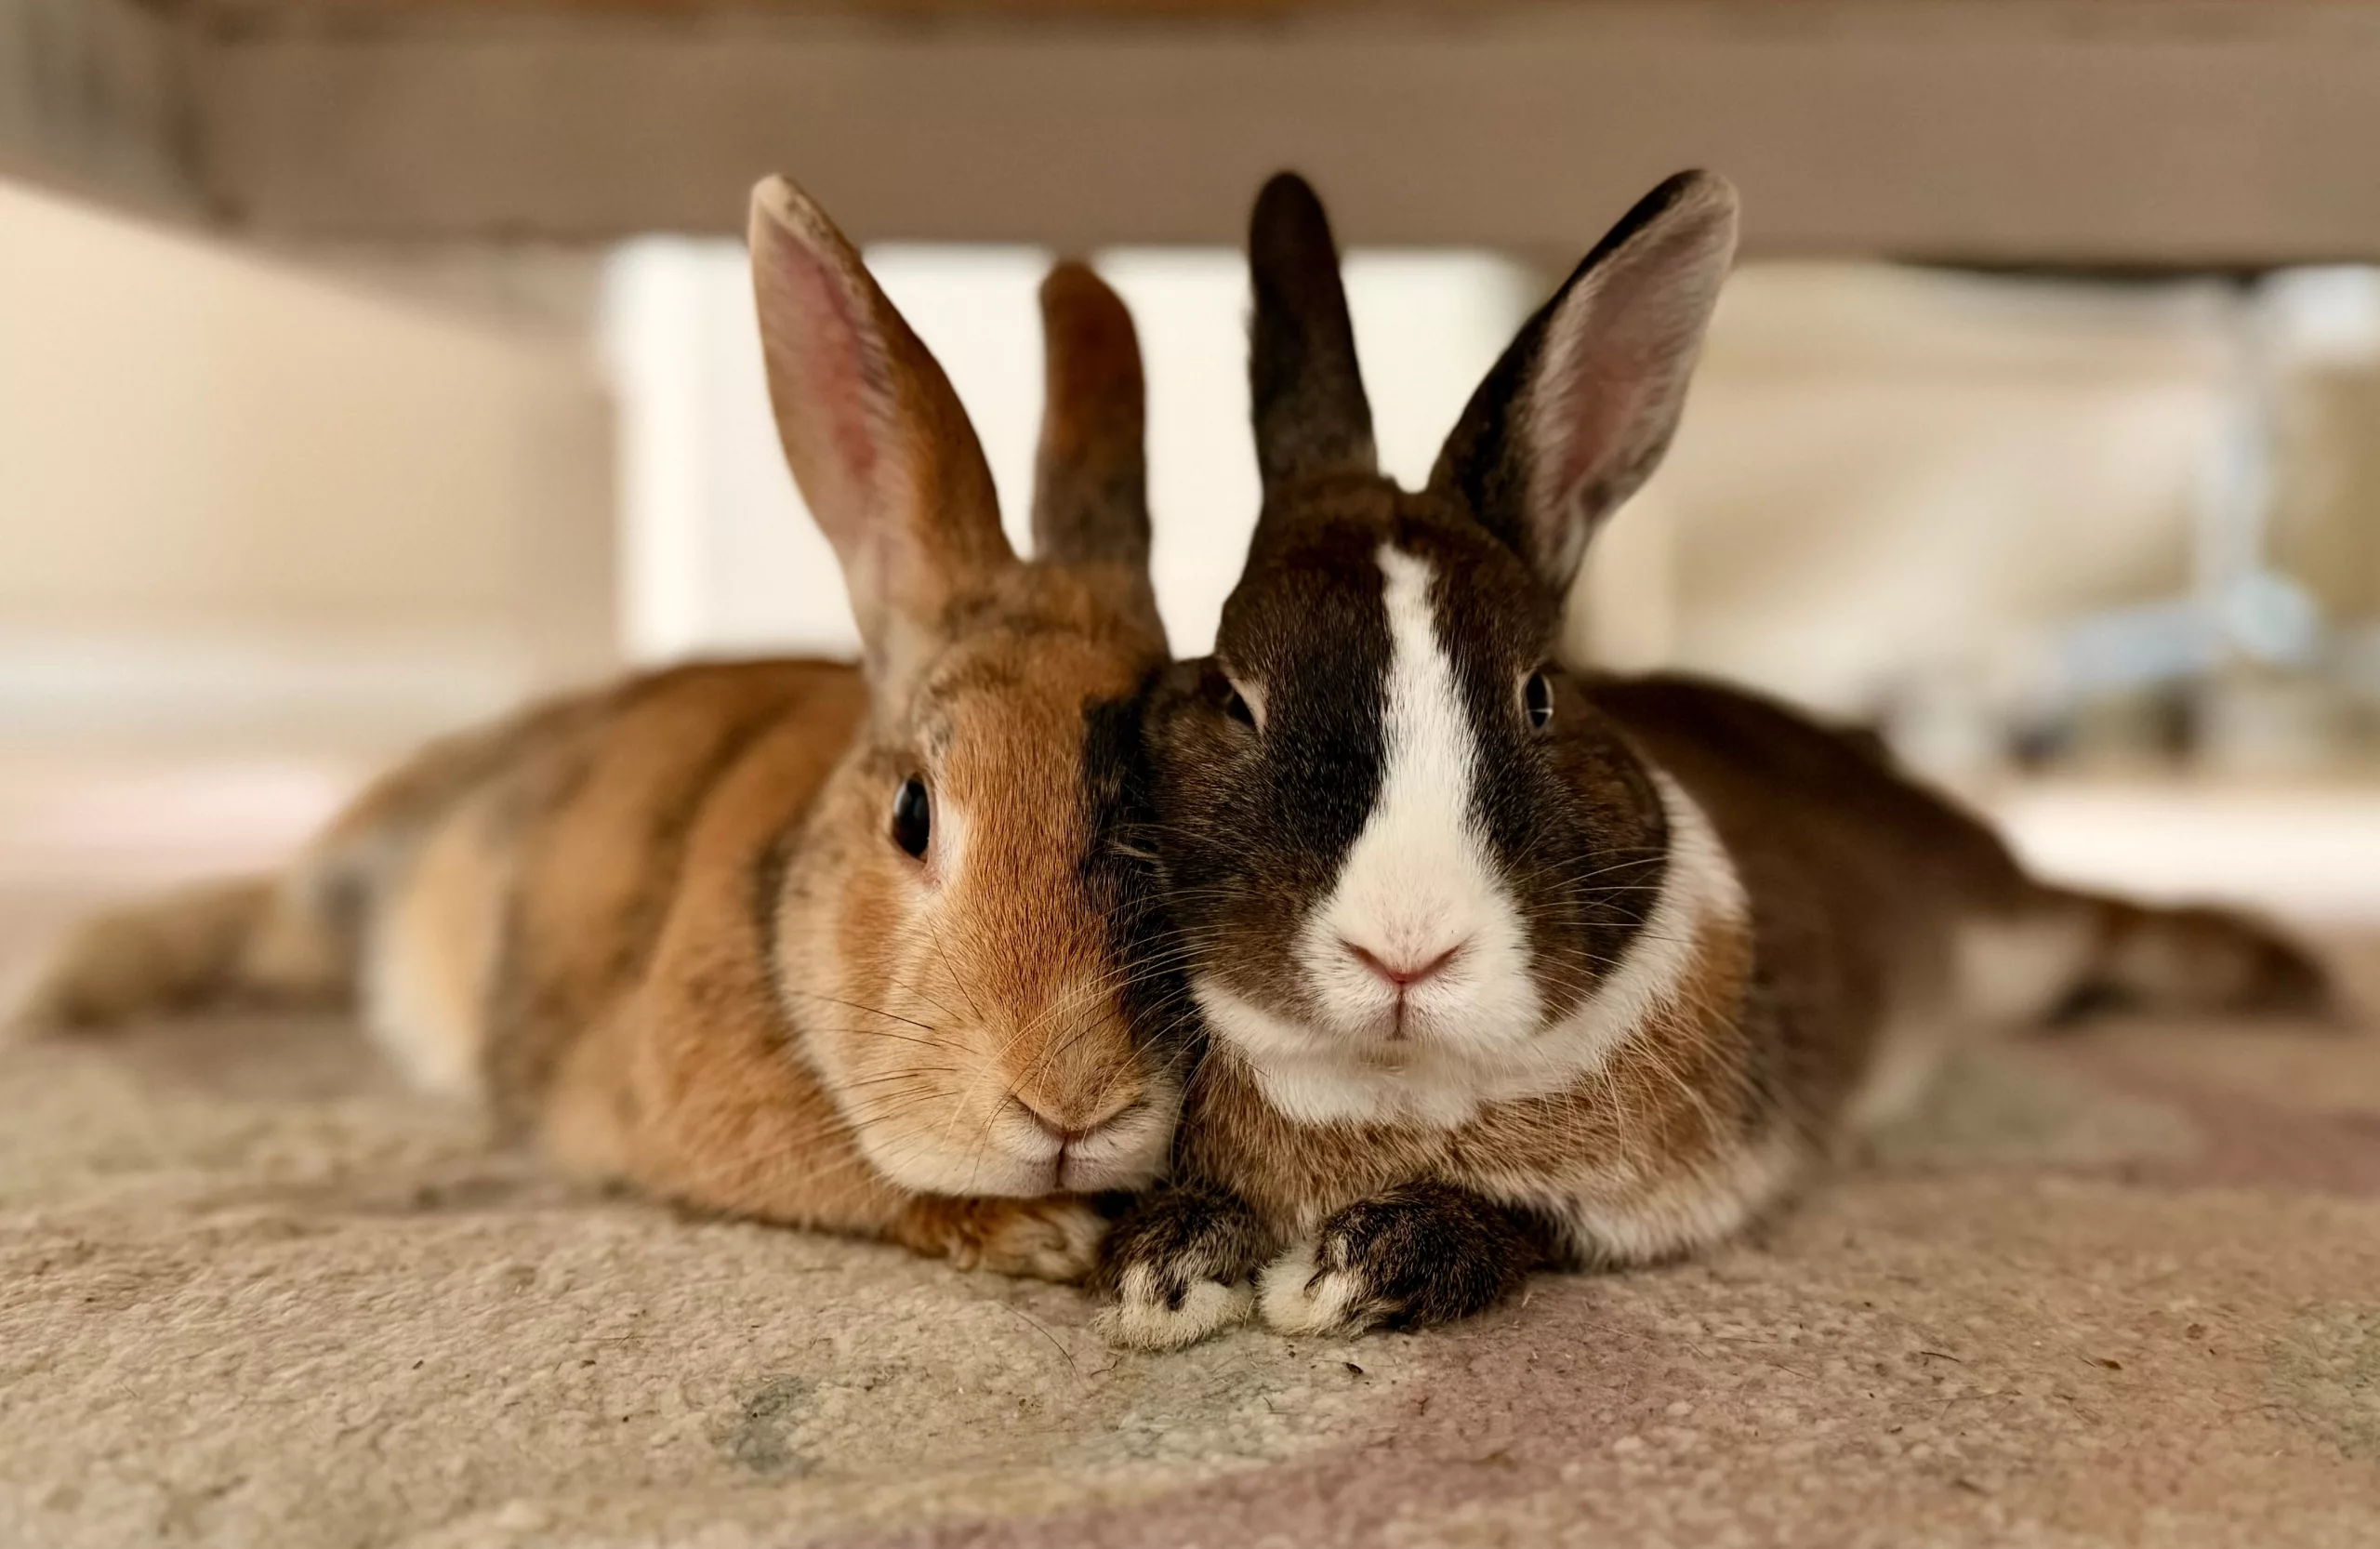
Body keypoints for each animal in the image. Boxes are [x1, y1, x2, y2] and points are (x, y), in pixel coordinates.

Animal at [1090, 169, 2334, 1347]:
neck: (1393, 1087)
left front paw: (1346, 1275)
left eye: (1540, 695)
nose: (1405, 951)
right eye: (1235, 694)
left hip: (2013, 936)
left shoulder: (1659, 1194)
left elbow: (1519, 1222)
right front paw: (1164, 1271)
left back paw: (2286, 979)